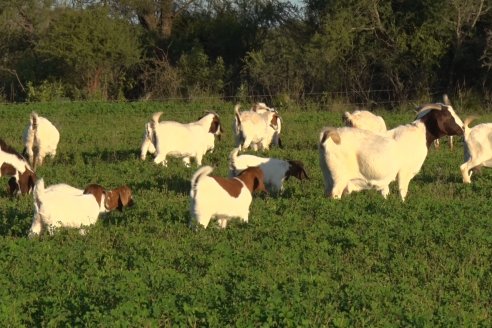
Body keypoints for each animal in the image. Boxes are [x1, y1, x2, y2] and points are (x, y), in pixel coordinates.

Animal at [320, 102, 466, 200]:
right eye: (447, 115)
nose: (463, 128)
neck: (419, 134)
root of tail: (328, 136)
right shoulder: (404, 173)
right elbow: (402, 193)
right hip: (339, 179)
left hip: (328, 179)